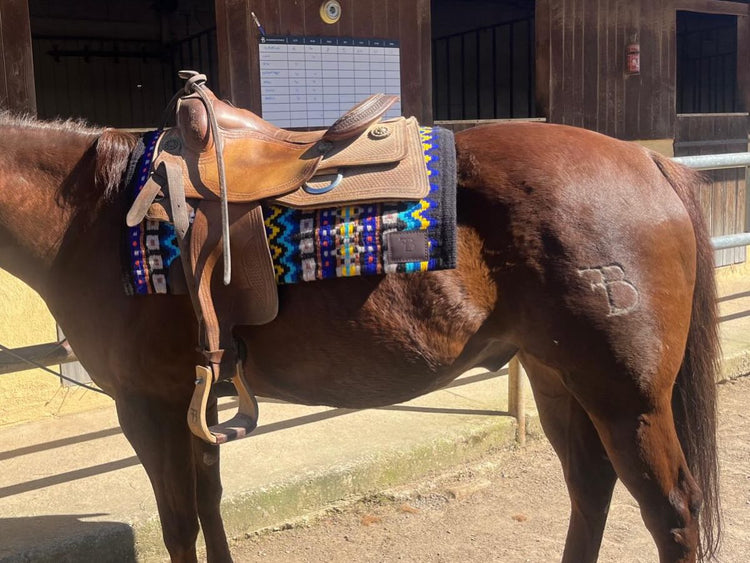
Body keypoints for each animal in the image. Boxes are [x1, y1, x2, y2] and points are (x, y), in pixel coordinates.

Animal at [0, 112, 720, 563]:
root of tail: (651, 160)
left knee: (672, 512)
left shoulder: (148, 406)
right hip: (557, 377)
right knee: (590, 488)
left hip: (627, 398)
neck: (92, 214)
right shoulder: (194, 405)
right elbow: (209, 508)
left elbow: (179, 526)